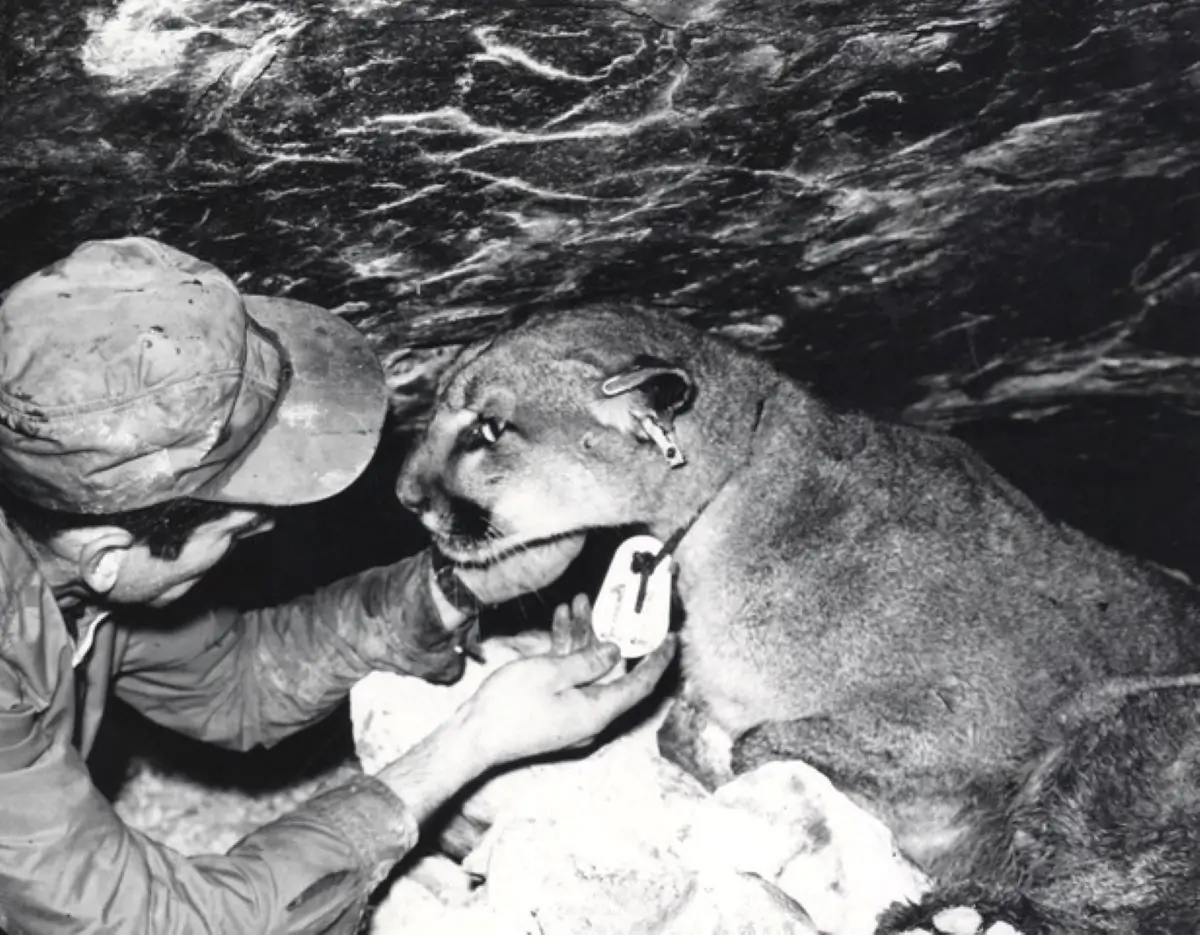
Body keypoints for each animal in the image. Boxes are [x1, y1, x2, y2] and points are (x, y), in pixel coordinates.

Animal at [396, 303, 1200, 931]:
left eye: (489, 429)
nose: (405, 495)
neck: (726, 504)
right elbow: (687, 732)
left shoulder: (969, 725)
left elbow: (758, 744)